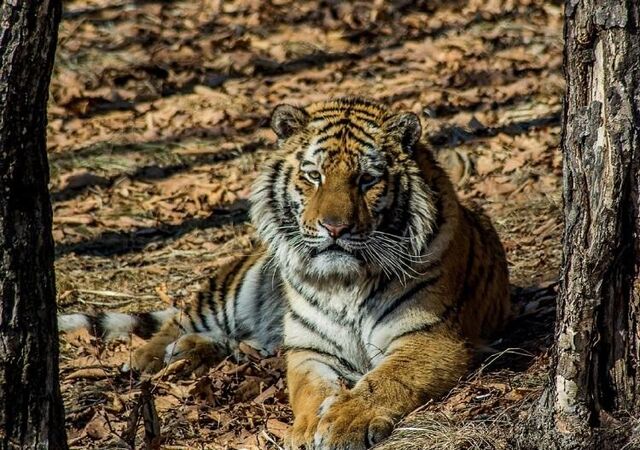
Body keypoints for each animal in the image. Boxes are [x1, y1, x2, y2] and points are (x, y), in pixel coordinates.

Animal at [58, 96, 510, 448]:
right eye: (314, 176)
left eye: (366, 180)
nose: (334, 228)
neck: (345, 283)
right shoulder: (310, 348)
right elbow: (308, 390)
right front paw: (308, 428)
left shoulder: (430, 338)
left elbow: (386, 381)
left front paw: (346, 421)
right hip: (235, 292)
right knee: (182, 318)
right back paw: (149, 356)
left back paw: (189, 352)